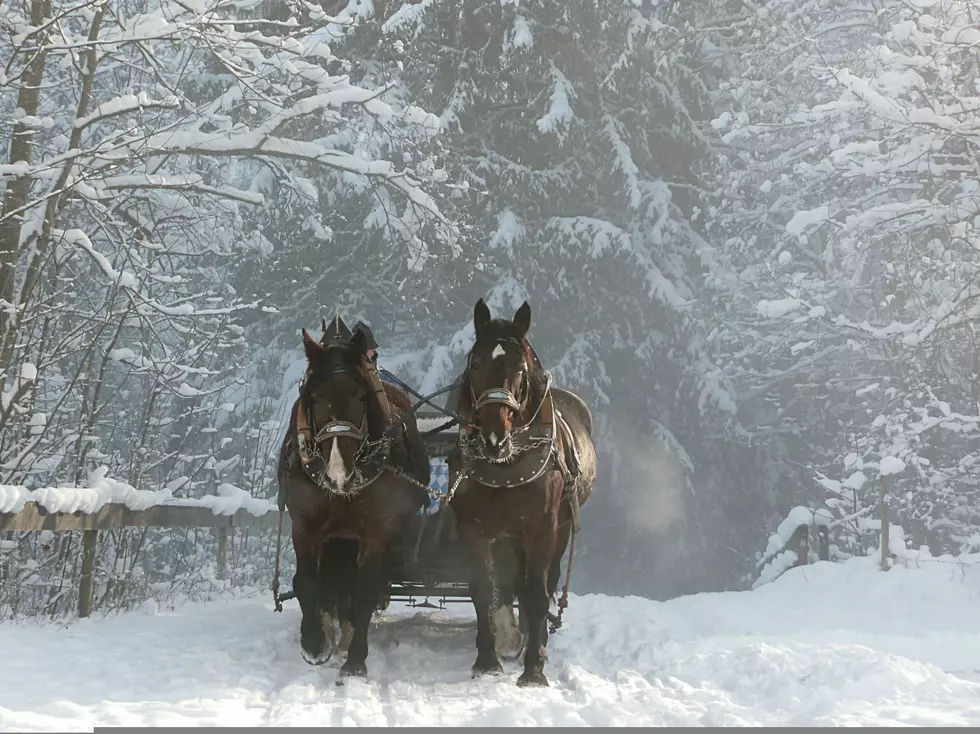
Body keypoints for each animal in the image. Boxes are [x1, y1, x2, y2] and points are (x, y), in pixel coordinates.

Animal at [276, 320, 428, 680]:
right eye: (314, 397)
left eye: (360, 395)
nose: (337, 472)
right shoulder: (305, 524)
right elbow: (306, 581)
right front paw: (314, 643)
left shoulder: (375, 530)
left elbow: (365, 591)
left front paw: (356, 659)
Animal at [450, 300, 596, 688]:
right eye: (475, 363)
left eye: (520, 367)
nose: (493, 438)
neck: (506, 464)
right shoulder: (473, 530)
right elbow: (483, 590)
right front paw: (487, 660)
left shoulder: (542, 529)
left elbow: (536, 593)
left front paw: (534, 668)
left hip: (559, 528)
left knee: (545, 582)